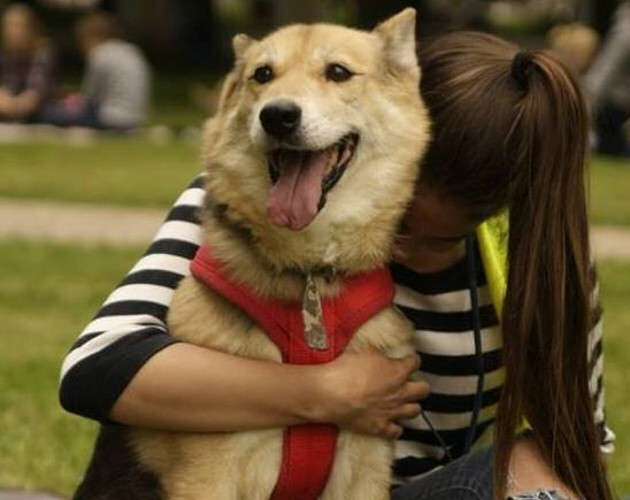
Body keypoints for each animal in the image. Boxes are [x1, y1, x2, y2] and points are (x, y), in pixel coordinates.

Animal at [73, 7, 430, 500]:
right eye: (263, 75)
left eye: (338, 72)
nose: (277, 115)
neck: (308, 270)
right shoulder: (208, 472)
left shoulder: (365, 468)